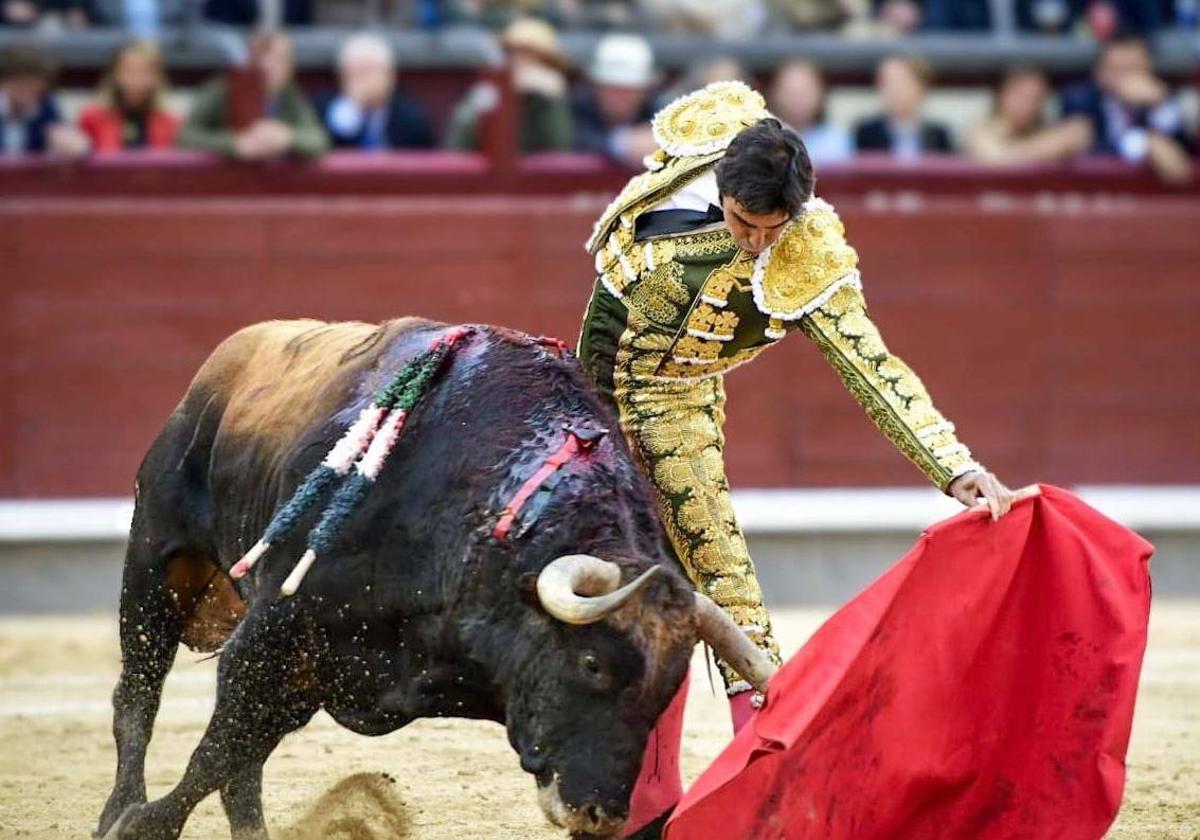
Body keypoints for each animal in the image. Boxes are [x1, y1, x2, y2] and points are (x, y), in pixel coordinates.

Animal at [93, 319, 768, 840]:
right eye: (593, 664)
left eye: (668, 691)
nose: (599, 815)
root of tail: (226, 359)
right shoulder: (271, 637)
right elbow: (214, 751)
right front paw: (137, 825)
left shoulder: (313, 668)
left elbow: (233, 751)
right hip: (155, 560)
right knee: (138, 698)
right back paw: (113, 811)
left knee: (244, 757)